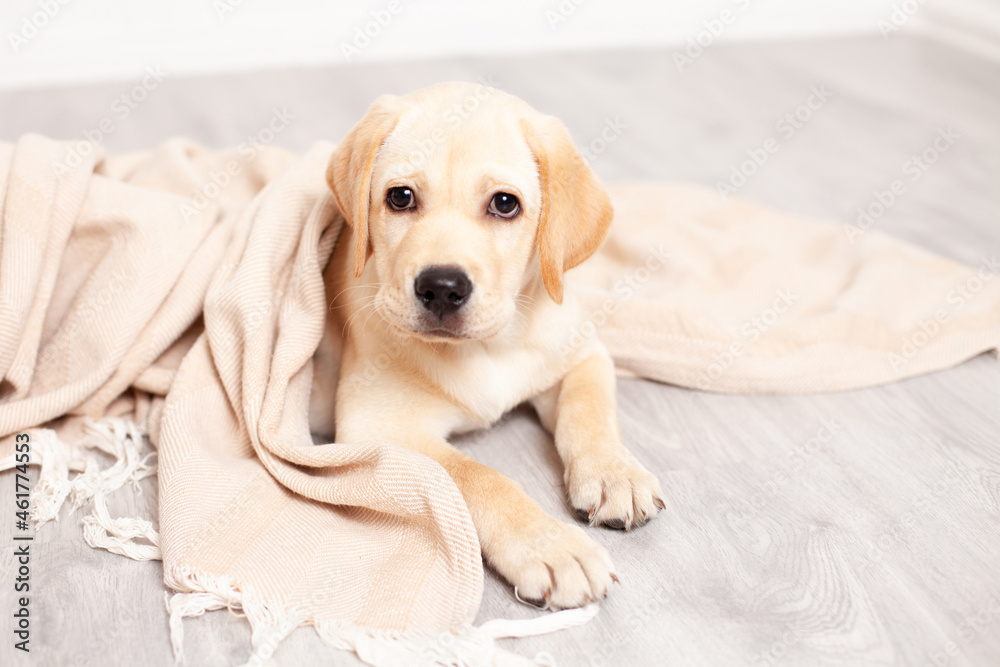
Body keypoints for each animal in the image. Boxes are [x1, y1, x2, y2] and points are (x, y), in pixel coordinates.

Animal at [308, 82, 660, 612]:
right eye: (400, 197)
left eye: (505, 204)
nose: (441, 287)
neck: (491, 345)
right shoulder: (379, 427)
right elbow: (478, 476)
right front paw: (550, 546)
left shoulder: (582, 353)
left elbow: (590, 409)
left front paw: (615, 472)